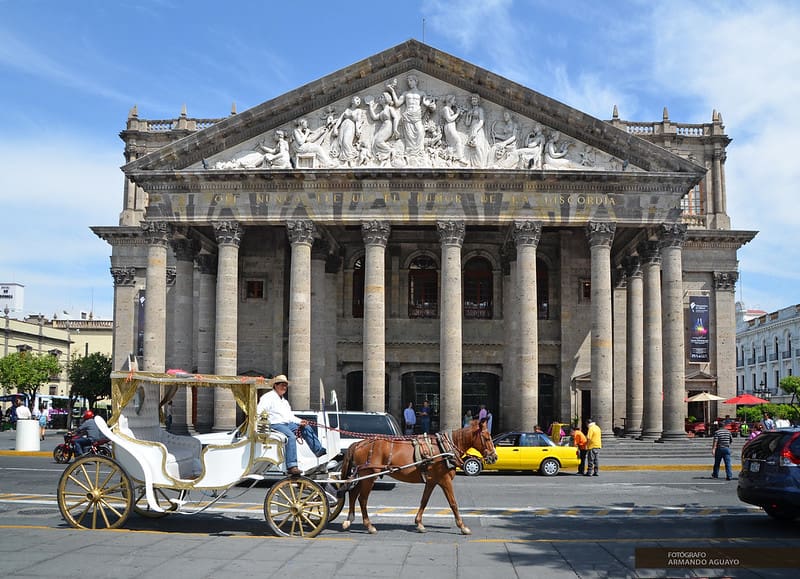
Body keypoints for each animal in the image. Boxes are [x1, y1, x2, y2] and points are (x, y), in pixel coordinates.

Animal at [340, 416, 496, 536]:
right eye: (487, 438)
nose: (494, 457)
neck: (444, 448)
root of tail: (359, 443)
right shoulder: (445, 480)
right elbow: (453, 503)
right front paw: (462, 526)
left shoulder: (432, 481)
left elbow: (424, 501)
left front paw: (419, 523)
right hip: (369, 476)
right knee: (362, 499)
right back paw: (369, 526)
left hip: (363, 476)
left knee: (353, 493)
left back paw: (349, 520)